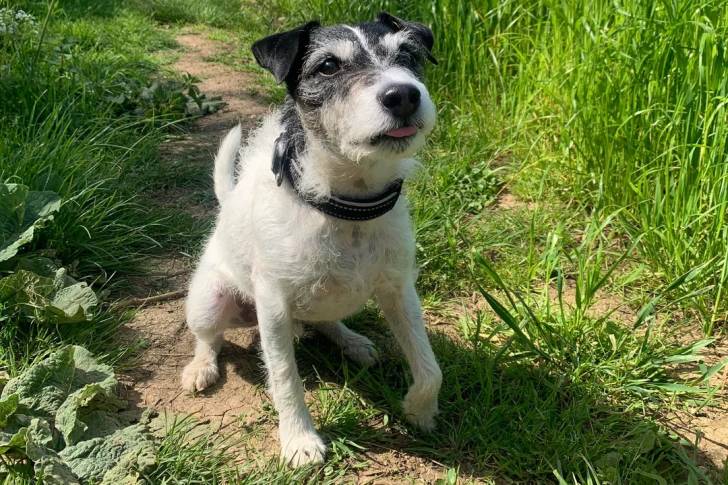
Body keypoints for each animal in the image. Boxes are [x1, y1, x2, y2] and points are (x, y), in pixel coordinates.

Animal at [181, 12, 442, 467]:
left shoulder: (399, 290)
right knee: (209, 338)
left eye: (409, 55)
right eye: (328, 66)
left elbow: (430, 367)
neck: (345, 204)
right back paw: (202, 367)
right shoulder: (273, 307)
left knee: (326, 321)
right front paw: (299, 440)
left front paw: (419, 410)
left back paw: (352, 341)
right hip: (210, 302)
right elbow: (286, 379)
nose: (404, 95)